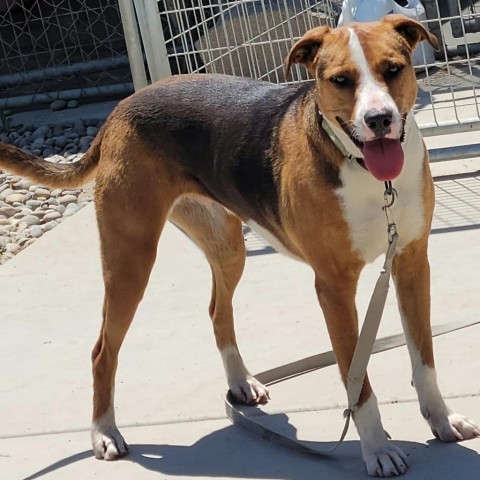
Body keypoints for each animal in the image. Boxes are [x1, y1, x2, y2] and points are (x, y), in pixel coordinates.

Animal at [0, 14, 480, 476]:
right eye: (341, 80)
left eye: (393, 69)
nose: (379, 119)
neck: (369, 175)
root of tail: (120, 109)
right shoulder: (334, 287)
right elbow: (357, 381)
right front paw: (377, 450)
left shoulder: (411, 263)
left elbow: (424, 360)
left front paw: (441, 420)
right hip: (131, 258)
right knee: (103, 351)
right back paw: (104, 432)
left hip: (228, 247)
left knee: (217, 311)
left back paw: (240, 383)